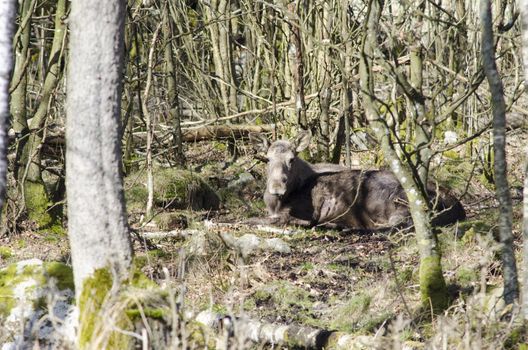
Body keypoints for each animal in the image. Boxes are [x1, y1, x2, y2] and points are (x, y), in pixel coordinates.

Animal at [249, 130, 466, 231]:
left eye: (291, 159)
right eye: (267, 159)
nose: (276, 188)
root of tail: (458, 207)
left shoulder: (308, 212)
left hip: (395, 202)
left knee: (397, 225)